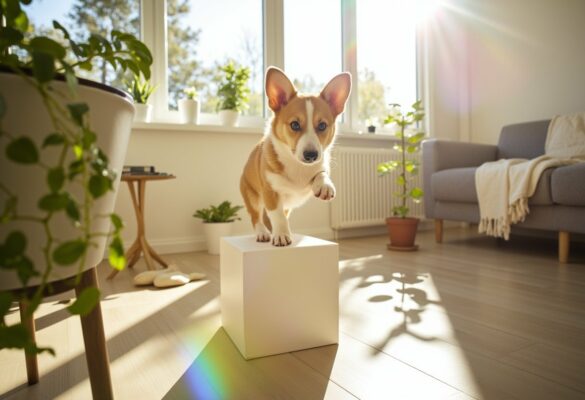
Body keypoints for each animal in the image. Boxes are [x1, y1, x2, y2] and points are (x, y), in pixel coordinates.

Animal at [238, 67, 350, 245]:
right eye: (295, 125)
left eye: (322, 125)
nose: (311, 155)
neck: (297, 165)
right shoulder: (270, 193)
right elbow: (277, 216)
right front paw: (282, 235)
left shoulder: (321, 166)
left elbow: (321, 173)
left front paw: (325, 185)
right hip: (252, 196)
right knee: (256, 217)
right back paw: (263, 233)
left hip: (287, 206)